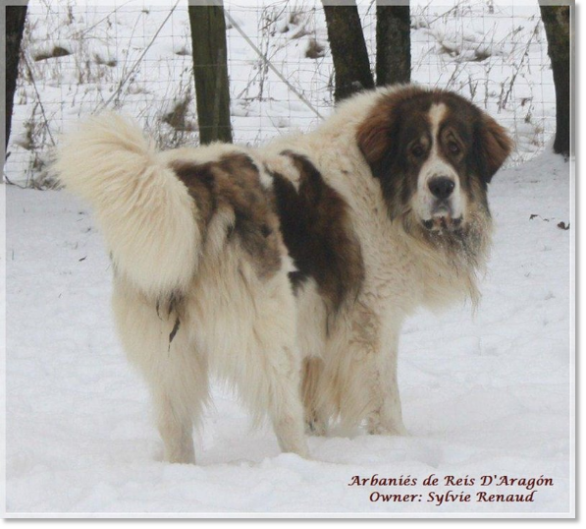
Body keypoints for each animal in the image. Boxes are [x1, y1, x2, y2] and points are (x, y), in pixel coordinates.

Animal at [56, 83, 512, 462]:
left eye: (455, 148)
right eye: (416, 151)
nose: (441, 186)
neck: (378, 183)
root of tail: (189, 181)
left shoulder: (319, 329)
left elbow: (316, 400)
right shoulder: (372, 324)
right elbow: (385, 397)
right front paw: (399, 444)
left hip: (171, 347)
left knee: (173, 420)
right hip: (267, 327)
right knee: (282, 413)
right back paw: (306, 466)